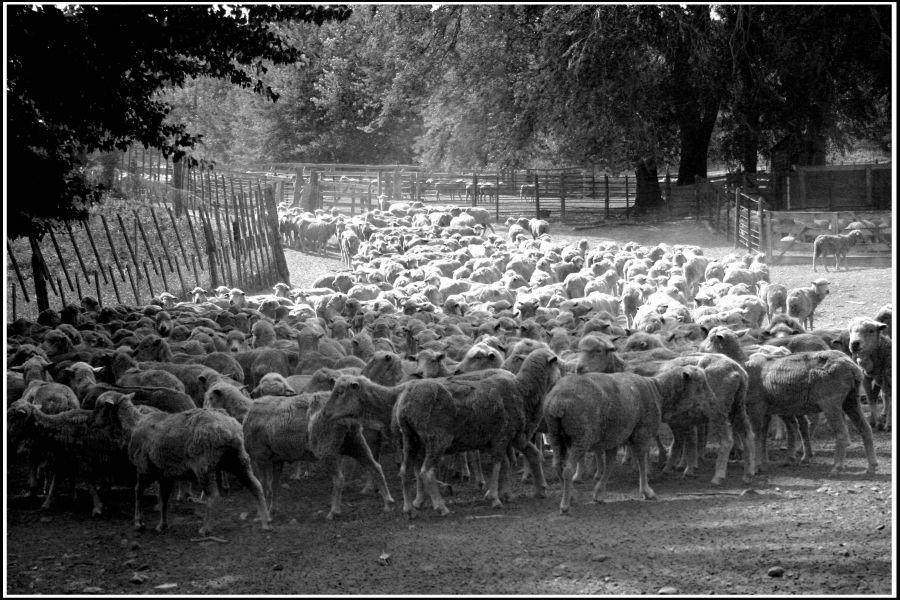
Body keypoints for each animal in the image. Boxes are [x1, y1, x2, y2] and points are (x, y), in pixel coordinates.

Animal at [95, 394, 272, 536]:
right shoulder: (165, 474)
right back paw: (265, 521)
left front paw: (139, 523)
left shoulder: (144, 468)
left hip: (204, 467)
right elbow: (164, 499)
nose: (93, 423)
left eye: (100, 407)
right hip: (238, 460)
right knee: (256, 486)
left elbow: (138, 491)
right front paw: (162, 525)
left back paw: (206, 528)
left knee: (213, 496)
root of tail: (230, 430)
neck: (133, 426)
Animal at [544, 364, 712, 512]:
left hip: (555, 436)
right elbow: (642, 460)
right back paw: (565, 505)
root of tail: (558, 402)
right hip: (580, 435)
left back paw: (572, 497)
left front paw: (599, 493)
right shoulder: (642, 432)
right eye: (702, 383)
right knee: (568, 470)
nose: (712, 400)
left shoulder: (614, 437)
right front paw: (647, 491)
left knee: (557, 466)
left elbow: (610, 465)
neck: (658, 391)